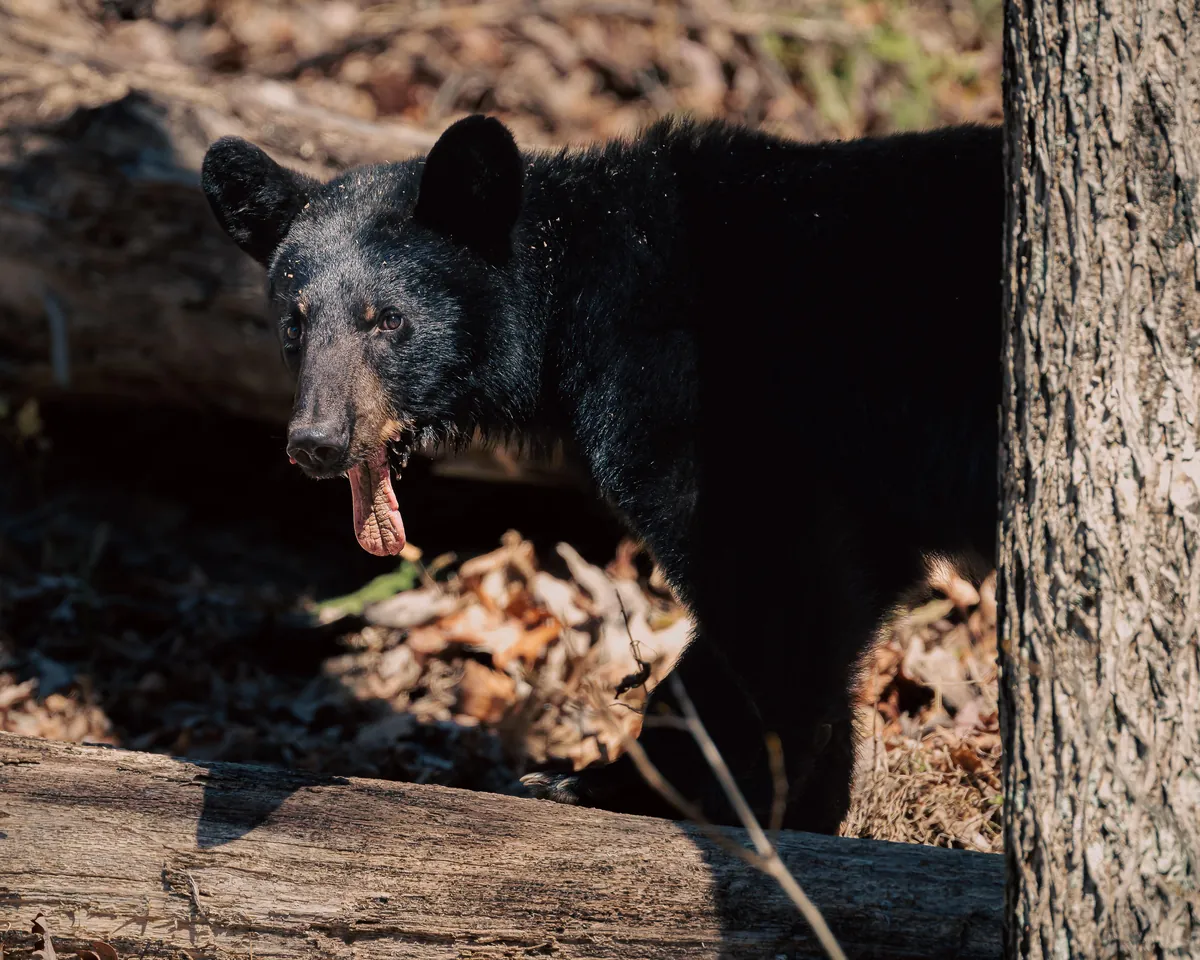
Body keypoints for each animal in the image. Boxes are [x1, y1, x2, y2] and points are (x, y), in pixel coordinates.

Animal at [201, 114, 1003, 835]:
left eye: (387, 319)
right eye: (295, 323)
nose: (317, 442)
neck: (571, 294)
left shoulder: (696, 402)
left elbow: (773, 596)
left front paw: (678, 796)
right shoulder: (856, 498)